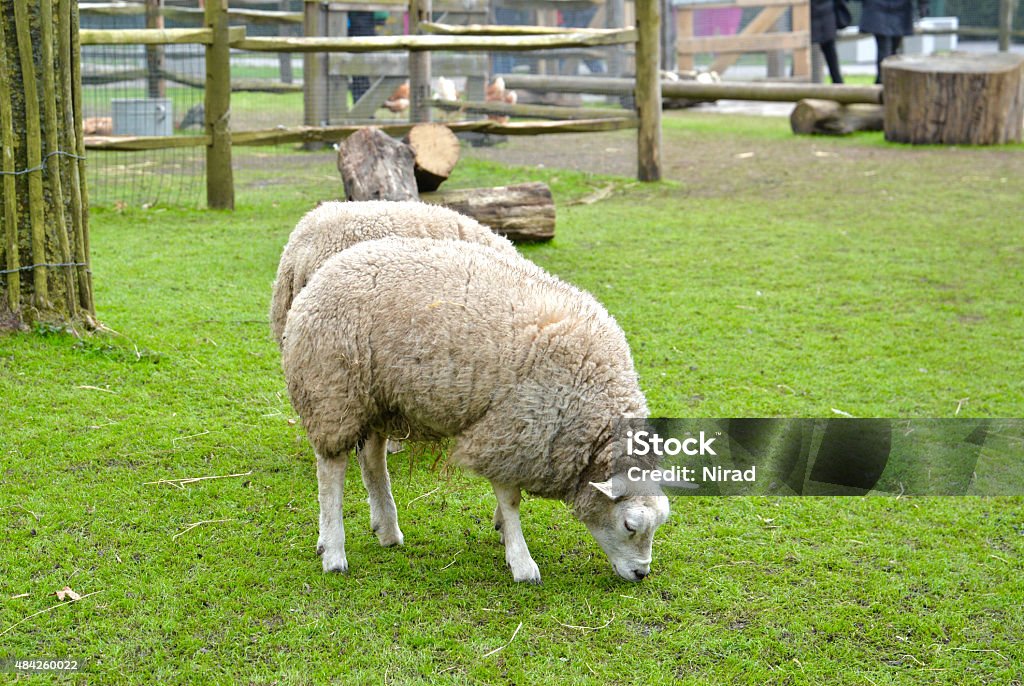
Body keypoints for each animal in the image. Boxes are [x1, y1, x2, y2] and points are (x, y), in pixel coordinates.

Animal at [278, 237, 671, 585]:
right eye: (630, 525)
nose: (641, 574)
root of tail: (324, 270)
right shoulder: (511, 426)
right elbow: (511, 498)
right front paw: (521, 561)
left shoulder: (521, 438)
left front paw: (502, 529)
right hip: (333, 390)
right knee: (331, 470)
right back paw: (333, 551)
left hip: (378, 398)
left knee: (372, 460)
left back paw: (387, 530)